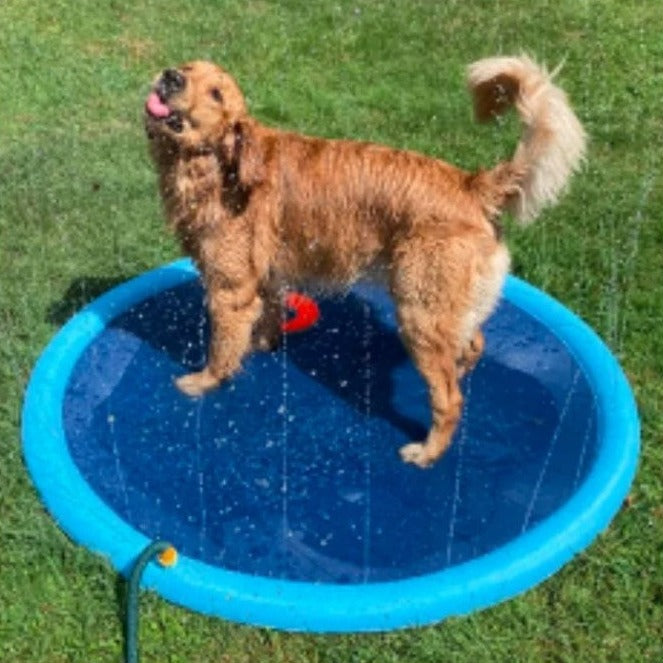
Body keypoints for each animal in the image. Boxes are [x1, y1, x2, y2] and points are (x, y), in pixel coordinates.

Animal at [145, 57, 588, 470]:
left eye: (216, 94)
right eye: (188, 68)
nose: (171, 76)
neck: (217, 166)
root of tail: (472, 185)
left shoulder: (229, 289)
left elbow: (220, 348)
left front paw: (203, 381)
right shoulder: (266, 278)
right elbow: (263, 321)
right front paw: (258, 346)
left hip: (417, 313)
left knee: (449, 400)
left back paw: (427, 452)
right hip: (446, 308)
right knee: (472, 345)